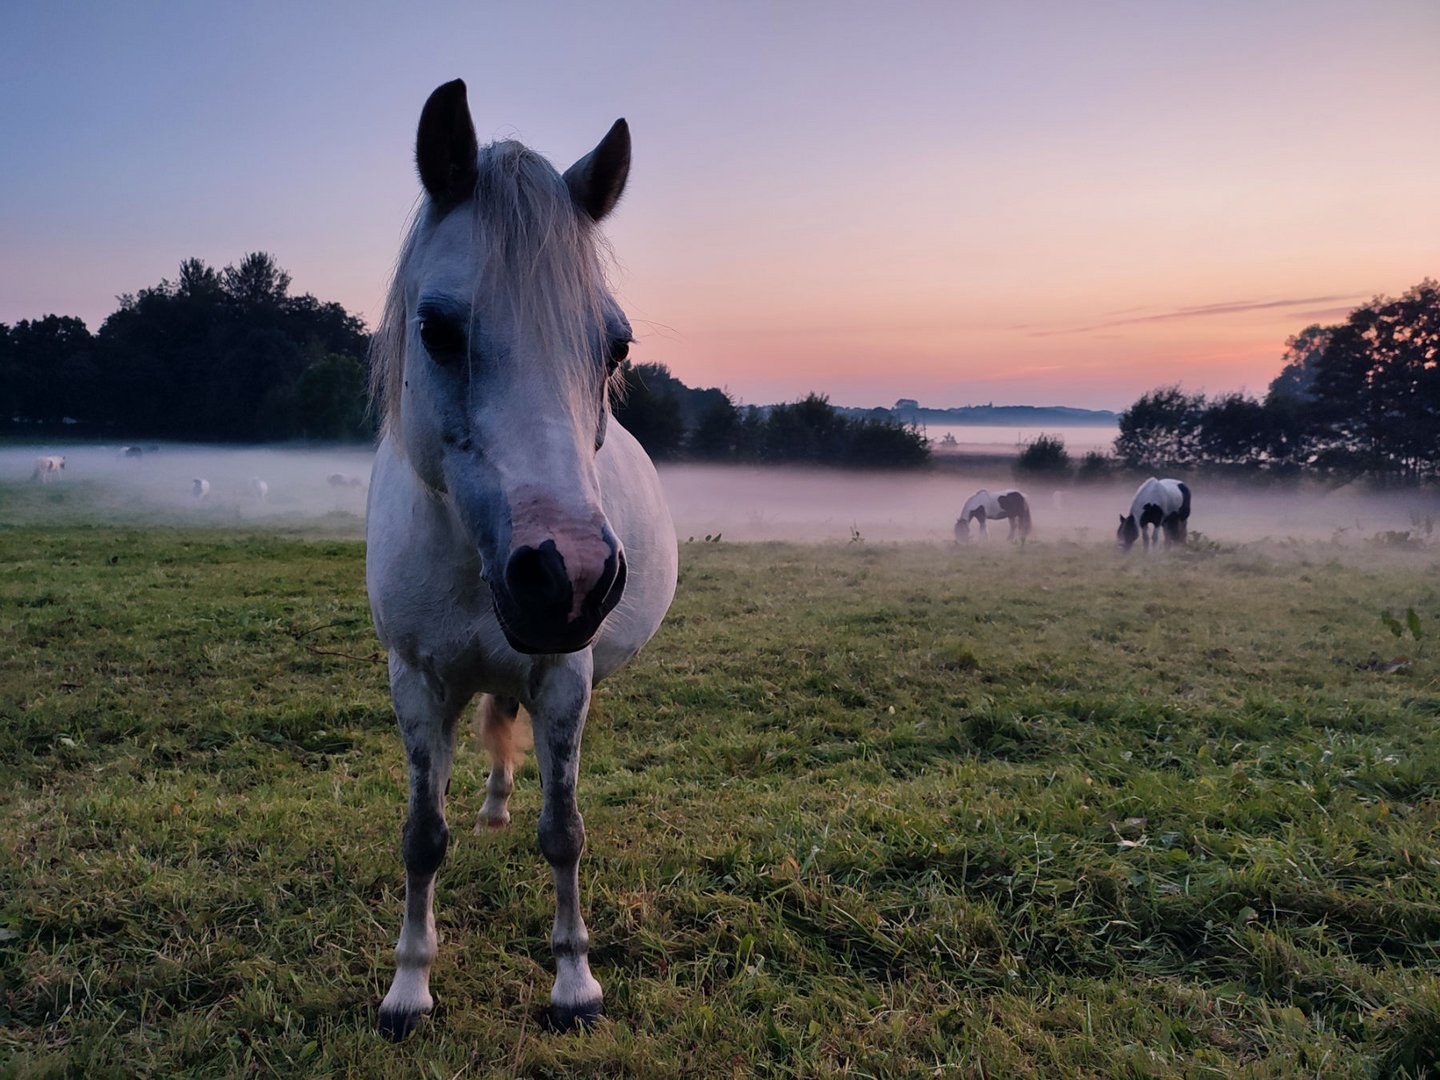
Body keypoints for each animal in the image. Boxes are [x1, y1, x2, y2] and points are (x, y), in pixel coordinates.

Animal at [360, 78, 673, 1042]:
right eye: (436, 329)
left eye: (616, 346)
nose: (566, 578)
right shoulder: (417, 682)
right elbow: (422, 836)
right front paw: (409, 988)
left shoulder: (565, 677)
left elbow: (563, 829)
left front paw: (575, 982)